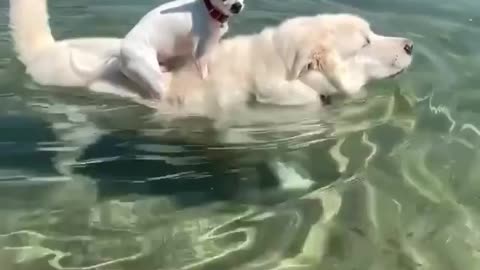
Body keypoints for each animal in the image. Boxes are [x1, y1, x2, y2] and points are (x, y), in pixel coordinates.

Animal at [118, 0, 246, 99]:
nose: (237, 5)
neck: (209, 10)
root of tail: (122, 54)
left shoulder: (209, 47)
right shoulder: (200, 54)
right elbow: (204, 74)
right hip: (151, 75)